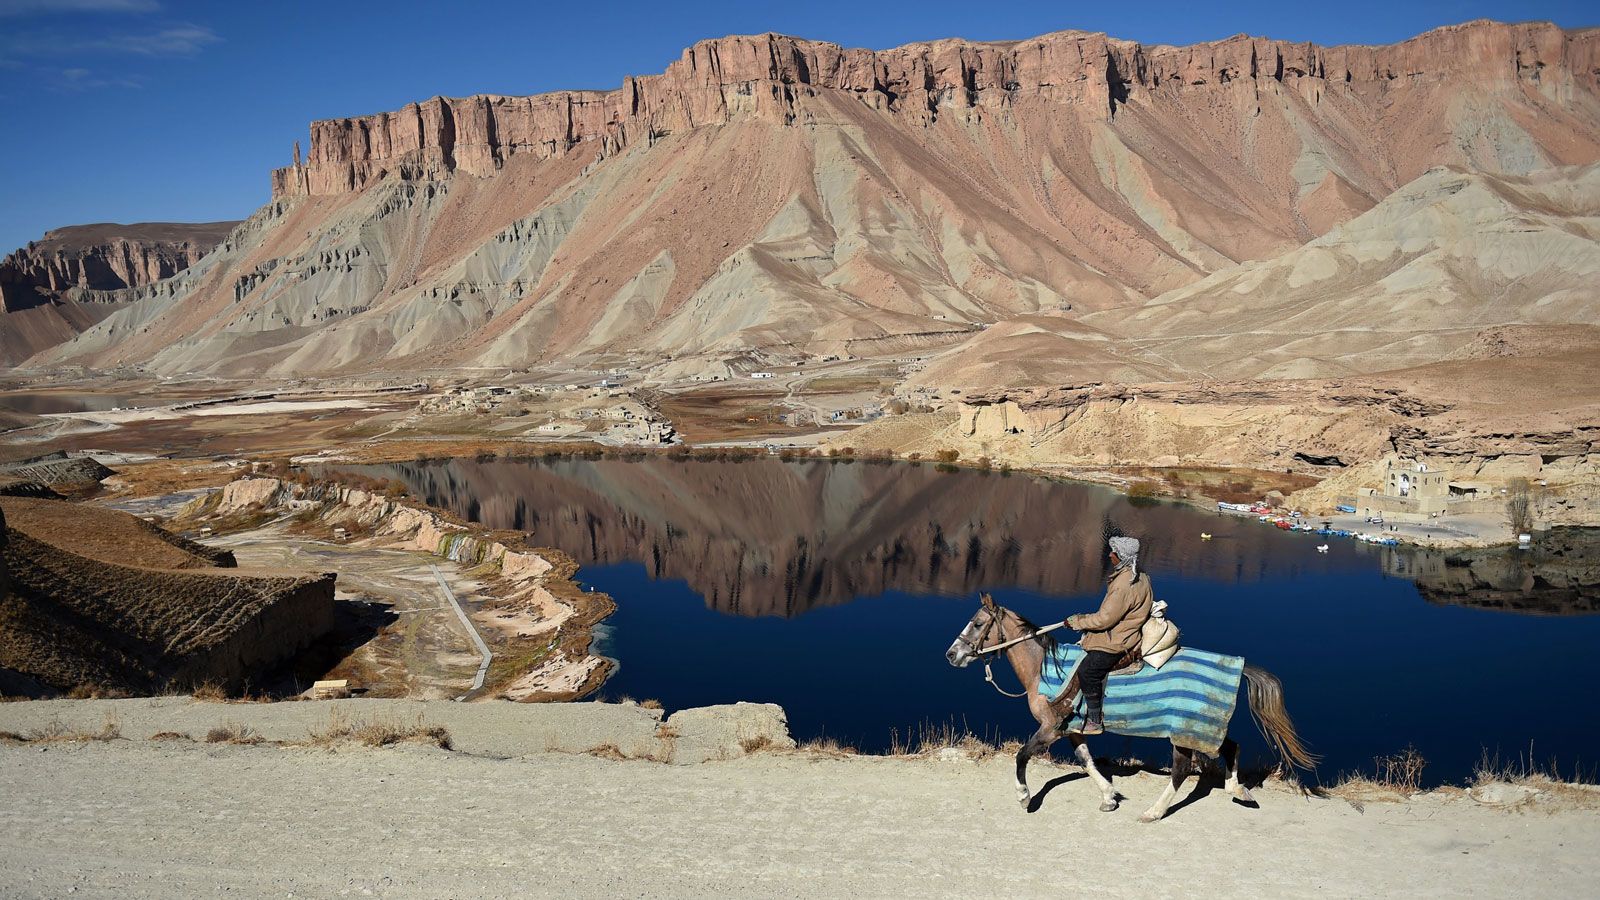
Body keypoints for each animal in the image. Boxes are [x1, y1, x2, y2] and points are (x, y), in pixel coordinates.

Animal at [947, 589, 1312, 819]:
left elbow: (1022, 756)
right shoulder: (1073, 729)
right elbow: (1087, 761)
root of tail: (1238, 665)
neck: (1045, 669)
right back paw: (1238, 789)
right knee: (1231, 747)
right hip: (1203, 727)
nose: (952, 654)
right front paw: (1109, 797)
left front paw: (1024, 797)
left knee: (1183, 769)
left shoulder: (1050, 728)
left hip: (1185, 730)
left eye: (977, 624)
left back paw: (1154, 812)